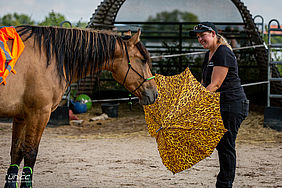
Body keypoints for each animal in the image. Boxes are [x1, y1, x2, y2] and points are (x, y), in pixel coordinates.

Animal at [1, 25, 158, 188]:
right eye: (142, 60)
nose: (154, 92)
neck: (48, 57)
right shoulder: (39, 114)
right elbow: (30, 153)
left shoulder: (21, 116)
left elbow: (16, 152)